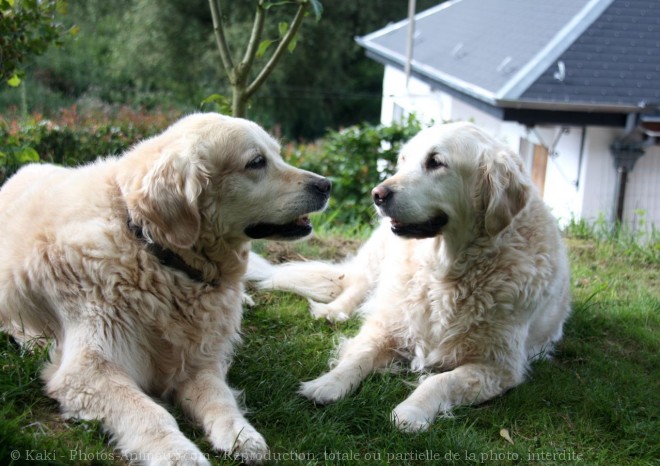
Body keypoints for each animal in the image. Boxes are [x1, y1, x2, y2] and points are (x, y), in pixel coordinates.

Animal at [0, 114, 330, 466]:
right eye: (256, 162)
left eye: (278, 154)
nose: (326, 185)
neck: (154, 249)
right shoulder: (88, 371)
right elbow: (150, 413)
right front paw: (180, 454)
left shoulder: (197, 358)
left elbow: (220, 397)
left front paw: (241, 434)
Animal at [250, 122, 568, 432]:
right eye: (402, 161)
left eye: (436, 162)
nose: (377, 194)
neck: (445, 271)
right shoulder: (389, 325)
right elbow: (359, 355)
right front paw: (326, 383)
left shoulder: (498, 367)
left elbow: (440, 380)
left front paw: (412, 411)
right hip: (378, 259)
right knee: (357, 285)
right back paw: (334, 311)